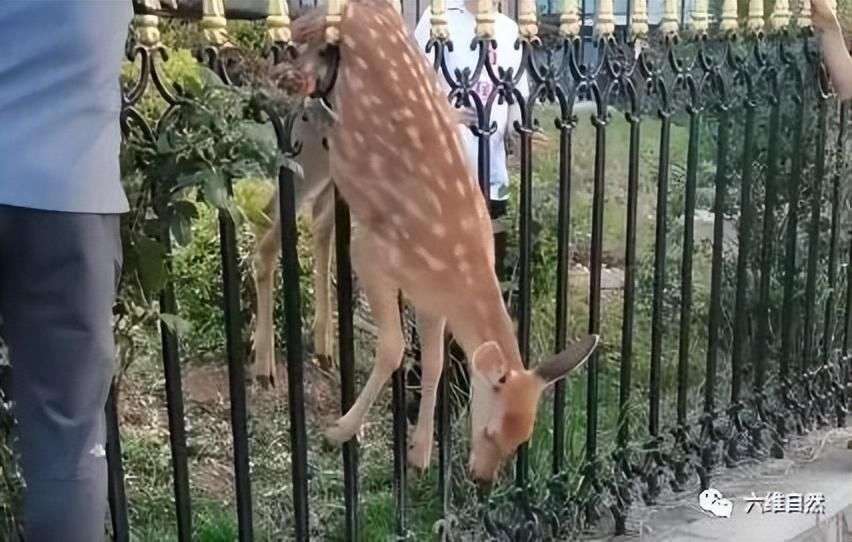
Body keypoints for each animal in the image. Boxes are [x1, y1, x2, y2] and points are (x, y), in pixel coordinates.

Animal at [259, 0, 599, 481]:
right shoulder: (372, 255)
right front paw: (340, 431)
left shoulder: (432, 299)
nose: (482, 479)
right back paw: (265, 366)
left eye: (522, 440)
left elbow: (436, 361)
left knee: (307, 220)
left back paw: (316, 347)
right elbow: (394, 349)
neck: (455, 264)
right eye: (492, 430)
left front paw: (419, 453)